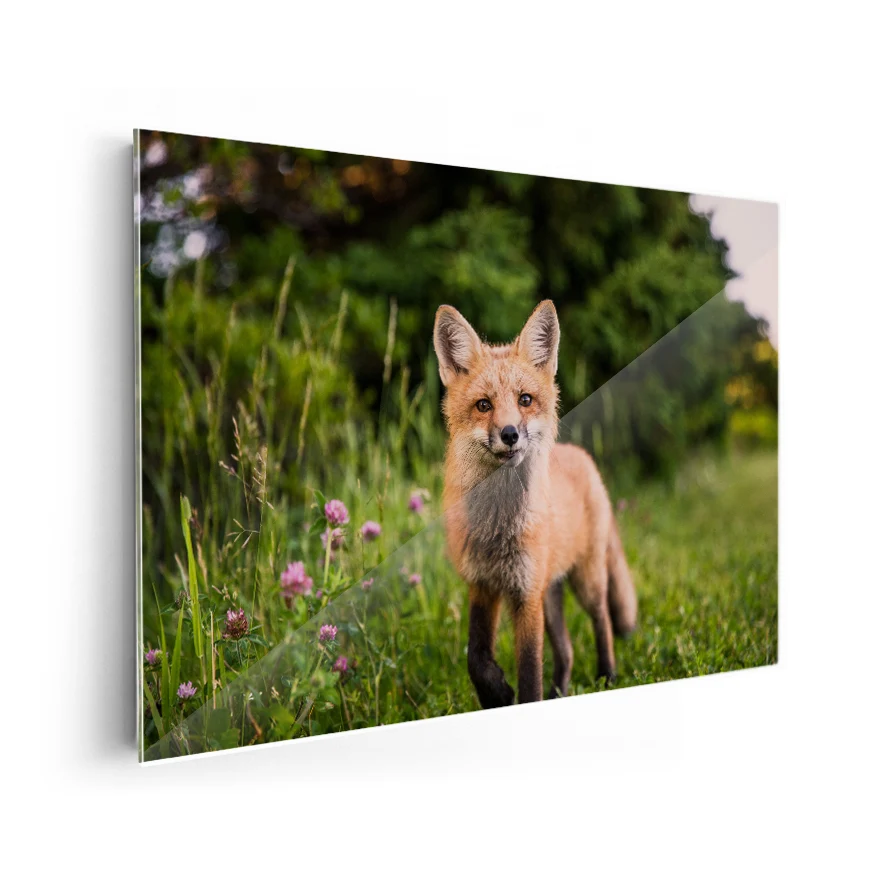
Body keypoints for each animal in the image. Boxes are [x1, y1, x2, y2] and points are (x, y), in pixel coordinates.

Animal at [434, 300, 637, 707]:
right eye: (483, 405)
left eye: (525, 400)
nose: (510, 434)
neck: (499, 528)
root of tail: (580, 455)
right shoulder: (483, 584)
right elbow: (476, 656)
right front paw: (495, 692)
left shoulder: (525, 594)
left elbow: (529, 674)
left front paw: (514, 694)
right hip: (551, 594)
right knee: (568, 651)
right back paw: (561, 691)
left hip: (585, 581)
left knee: (603, 621)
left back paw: (608, 675)